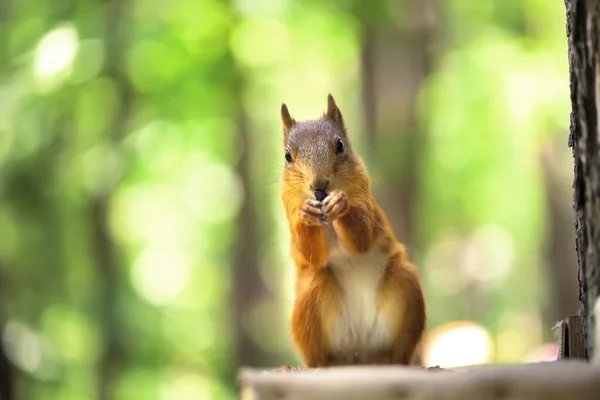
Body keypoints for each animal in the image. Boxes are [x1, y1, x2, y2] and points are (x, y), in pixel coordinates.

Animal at [280, 94, 426, 368]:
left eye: (340, 146)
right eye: (287, 156)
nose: (319, 186)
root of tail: (359, 355)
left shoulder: (366, 203)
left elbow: (362, 240)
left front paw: (341, 203)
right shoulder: (289, 206)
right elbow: (312, 255)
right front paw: (307, 214)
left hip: (405, 287)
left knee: (400, 353)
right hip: (311, 303)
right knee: (317, 358)